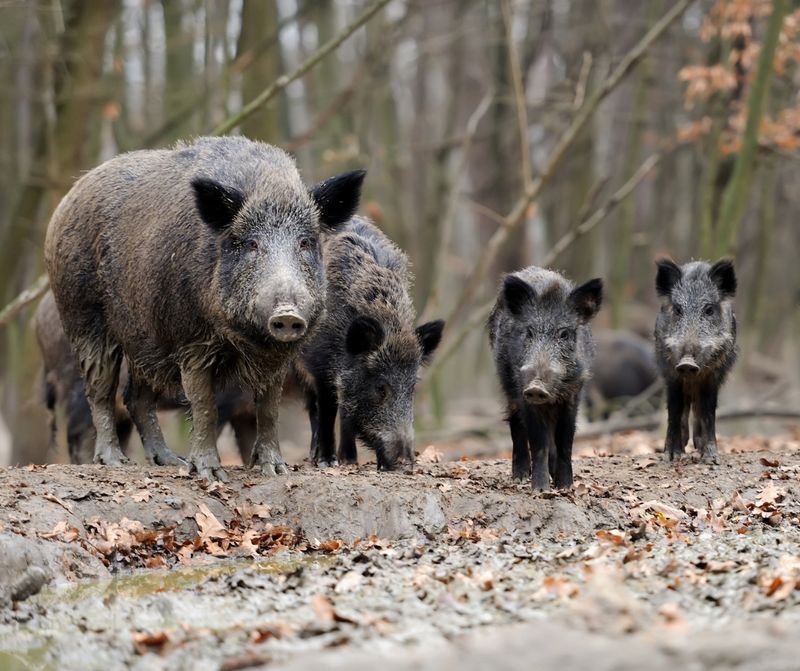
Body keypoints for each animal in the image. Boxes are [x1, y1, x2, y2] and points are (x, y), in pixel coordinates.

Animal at [45, 136, 364, 481]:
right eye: (251, 244)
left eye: (305, 242)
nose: (287, 314)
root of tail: (68, 199)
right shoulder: (191, 342)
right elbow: (203, 405)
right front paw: (210, 474)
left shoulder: (277, 357)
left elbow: (268, 408)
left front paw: (275, 470)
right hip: (83, 317)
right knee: (100, 389)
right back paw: (115, 461)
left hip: (145, 338)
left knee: (137, 397)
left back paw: (170, 461)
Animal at [296, 217, 444, 471]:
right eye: (381, 387)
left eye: (412, 388)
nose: (405, 460)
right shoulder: (320, 365)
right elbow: (327, 410)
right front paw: (328, 462)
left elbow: (345, 412)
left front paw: (358, 462)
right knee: (314, 407)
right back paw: (318, 458)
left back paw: (349, 459)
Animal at [488, 267, 603, 490]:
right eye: (529, 332)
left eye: (564, 334)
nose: (536, 387)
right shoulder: (523, 392)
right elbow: (538, 441)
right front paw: (540, 489)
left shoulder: (574, 393)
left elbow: (565, 440)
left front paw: (565, 486)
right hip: (507, 382)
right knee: (516, 423)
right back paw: (520, 477)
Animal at [654, 258, 737, 465]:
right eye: (677, 309)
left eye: (708, 310)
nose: (687, 363)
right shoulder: (671, 372)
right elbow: (675, 409)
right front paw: (671, 456)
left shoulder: (713, 375)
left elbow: (708, 410)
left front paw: (711, 458)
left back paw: (698, 446)